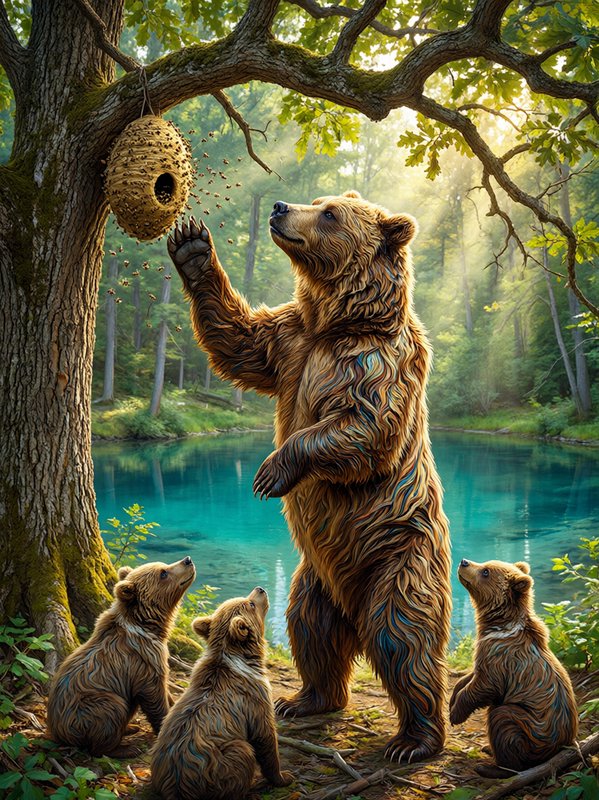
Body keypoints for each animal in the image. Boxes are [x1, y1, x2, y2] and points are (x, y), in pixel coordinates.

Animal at [47, 557, 196, 755]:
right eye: (163, 573)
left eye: (164, 566)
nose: (188, 560)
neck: (148, 625)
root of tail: (57, 731)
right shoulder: (143, 660)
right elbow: (153, 695)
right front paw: (163, 727)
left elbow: (165, 690)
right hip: (87, 707)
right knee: (110, 713)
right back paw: (127, 747)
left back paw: (130, 728)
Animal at [151, 586, 292, 800]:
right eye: (250, 604)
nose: (260, 589)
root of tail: (178, 785)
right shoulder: (255, 698)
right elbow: (265, 736)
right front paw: (283, 777)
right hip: (219, 764)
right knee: (243, 753)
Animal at [167, 191, 451, 763]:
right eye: (319, 201)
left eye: (330, 214)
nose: (280, 206)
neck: (336, 322)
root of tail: (353, 607)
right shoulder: (289, 341)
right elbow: (239, 341)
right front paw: (191, 244)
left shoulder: (374, 360)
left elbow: (365, 426)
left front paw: (270, 472)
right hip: (314, 580)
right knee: (311, 632)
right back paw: (304, 700)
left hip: (399, 554)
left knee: (403, 637)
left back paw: (415, 739)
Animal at [450, 558, 578, 775]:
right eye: (485, 564)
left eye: (486, 571)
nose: (464, 561)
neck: (498, 625)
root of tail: (561, 746)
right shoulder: (485, 653)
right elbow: (470, 677)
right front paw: (452, 699)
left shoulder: (502, 656)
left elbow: (485, 685)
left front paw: (455, 714)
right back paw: (488, 750)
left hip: (533, 728)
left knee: (502, 720)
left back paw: (490, 766)